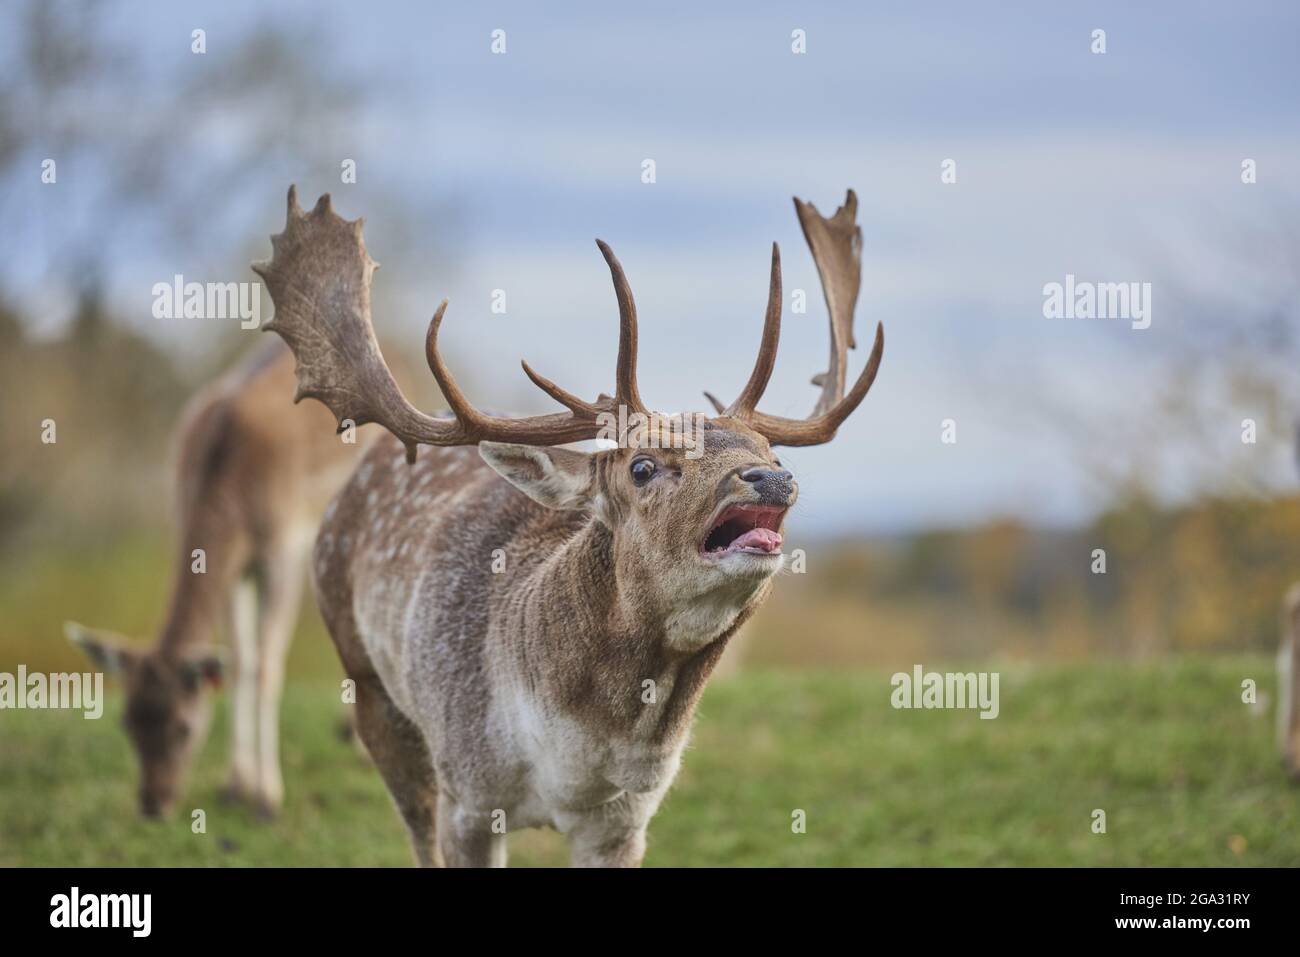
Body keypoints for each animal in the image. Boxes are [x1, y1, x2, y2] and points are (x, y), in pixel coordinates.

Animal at [65, 338, 380, 819]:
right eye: (126, 722)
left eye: (183, 726)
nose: (153, 805)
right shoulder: (237, 567)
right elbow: (240, 660)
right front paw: (236, 785)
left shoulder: (280, 548)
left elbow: (267, 664)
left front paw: (267, 797)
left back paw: (363, 747)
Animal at [254, 184, 882, 866]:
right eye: (642, 465)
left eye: (772, 452)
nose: (769, 478)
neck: (569, 761)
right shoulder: (467, 796)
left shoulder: (624, 822)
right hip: (368, 682)